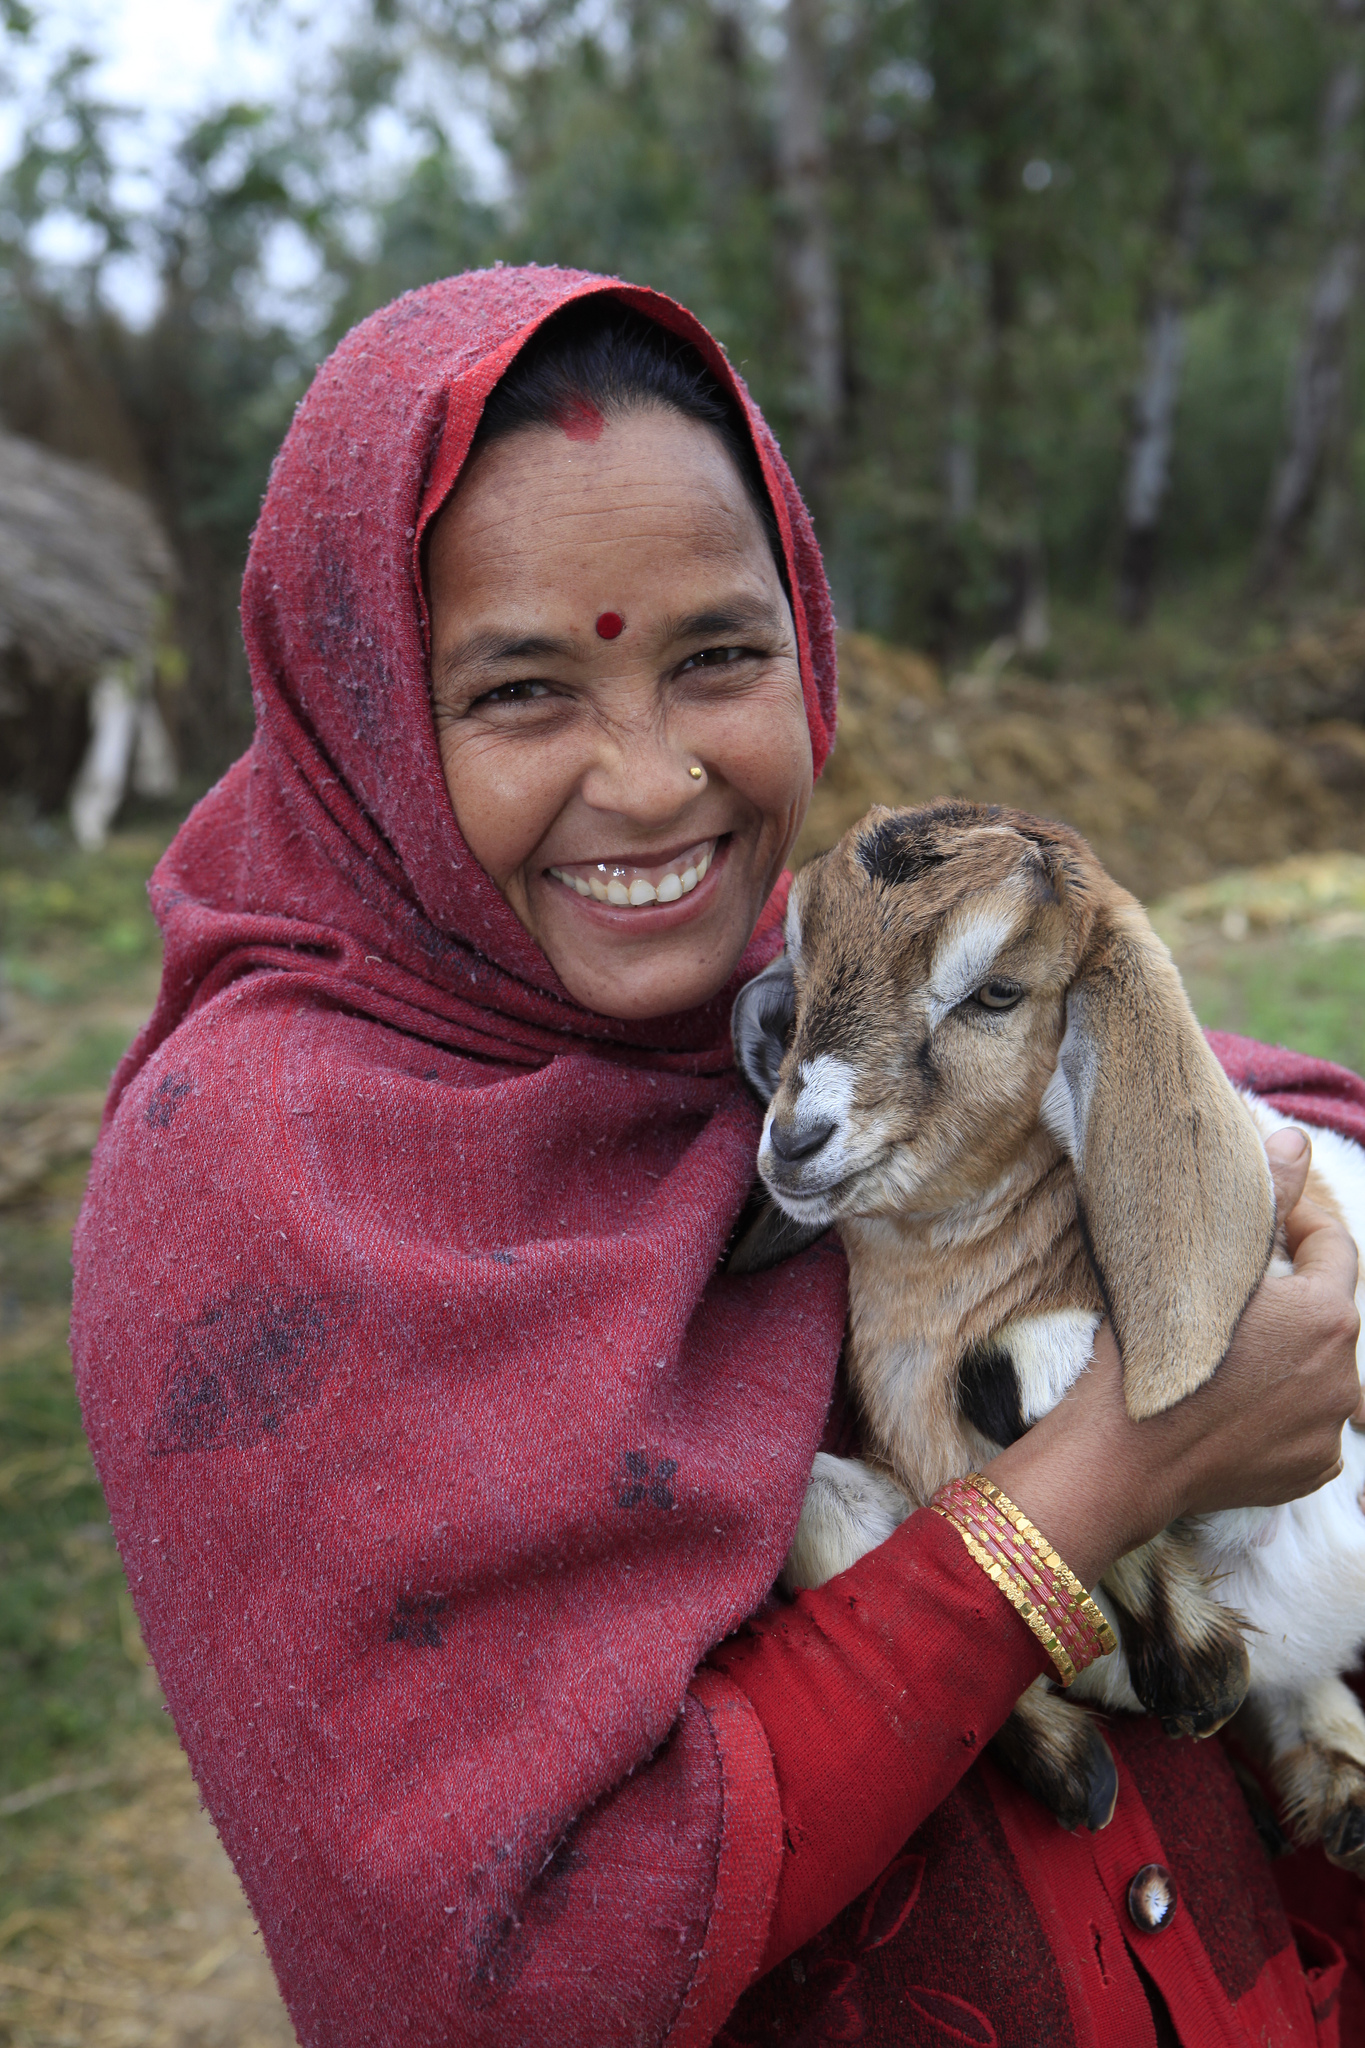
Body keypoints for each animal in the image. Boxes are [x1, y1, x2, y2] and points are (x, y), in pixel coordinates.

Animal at [731, 800, 1365, 1860]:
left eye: (995, 993)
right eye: (805, 959)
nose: (794, 1139)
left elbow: (1001, 1376)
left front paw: (1195, 1669)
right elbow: (810, 1516)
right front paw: (1082, 1758)